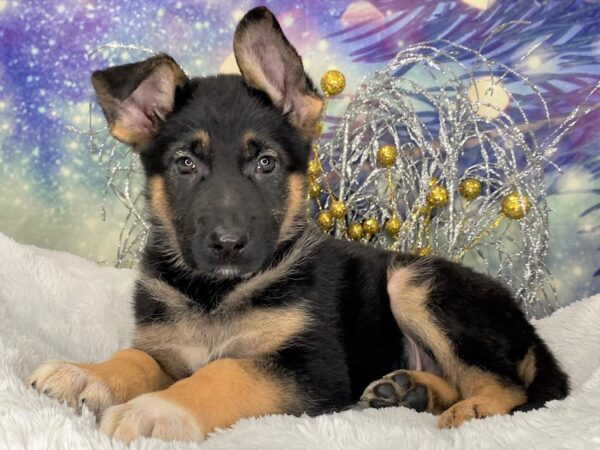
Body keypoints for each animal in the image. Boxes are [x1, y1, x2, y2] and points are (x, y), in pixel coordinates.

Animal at [28, 7, 568, 442]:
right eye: (185, 164)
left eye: (265, 163)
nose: (228, 245)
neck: (216, 294)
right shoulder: (166, 350)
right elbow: (135, 358)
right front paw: (86, 374)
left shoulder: (311, 369)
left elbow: (225, 374)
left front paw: (157, 409)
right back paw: (408, 390)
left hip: (414, 282)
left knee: (506, 387)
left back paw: (467, 412)